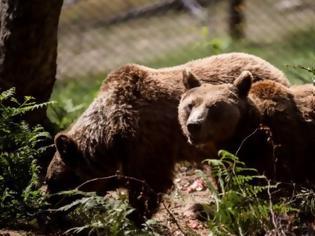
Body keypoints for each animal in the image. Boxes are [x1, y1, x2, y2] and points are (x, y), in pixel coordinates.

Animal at [45, 52, 290, 223]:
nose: (49, 211)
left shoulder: (147, 140)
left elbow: (148, 183)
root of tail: (275, 69)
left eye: (52, 181)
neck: (113, 133)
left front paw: (133, 215)